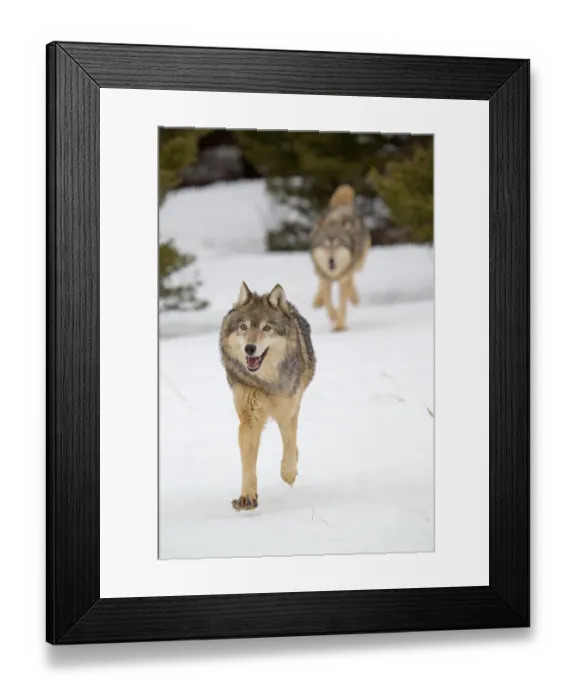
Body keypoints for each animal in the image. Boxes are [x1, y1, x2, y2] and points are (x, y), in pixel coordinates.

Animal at [219, 282, 316, 511]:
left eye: (266, 328)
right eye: (243, 327)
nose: (250, 348)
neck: (266, 381)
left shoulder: (287, 411)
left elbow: (289, 446)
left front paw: (289, 474)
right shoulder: (249, 417)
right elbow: (248, 463)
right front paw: (247, 497)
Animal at [309, 184, 371, 331]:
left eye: (337, 245)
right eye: (326, 245)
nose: (331, 260)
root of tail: (342, 206)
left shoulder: (344, 278)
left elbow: (342, 303)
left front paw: (340, 326)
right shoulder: (326, 279)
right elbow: (329, 304)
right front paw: (334, 317)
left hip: (357, 264)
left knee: (351, 279)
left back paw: (354, 299)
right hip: (319, 270)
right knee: (320, 283)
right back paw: (318, 301)